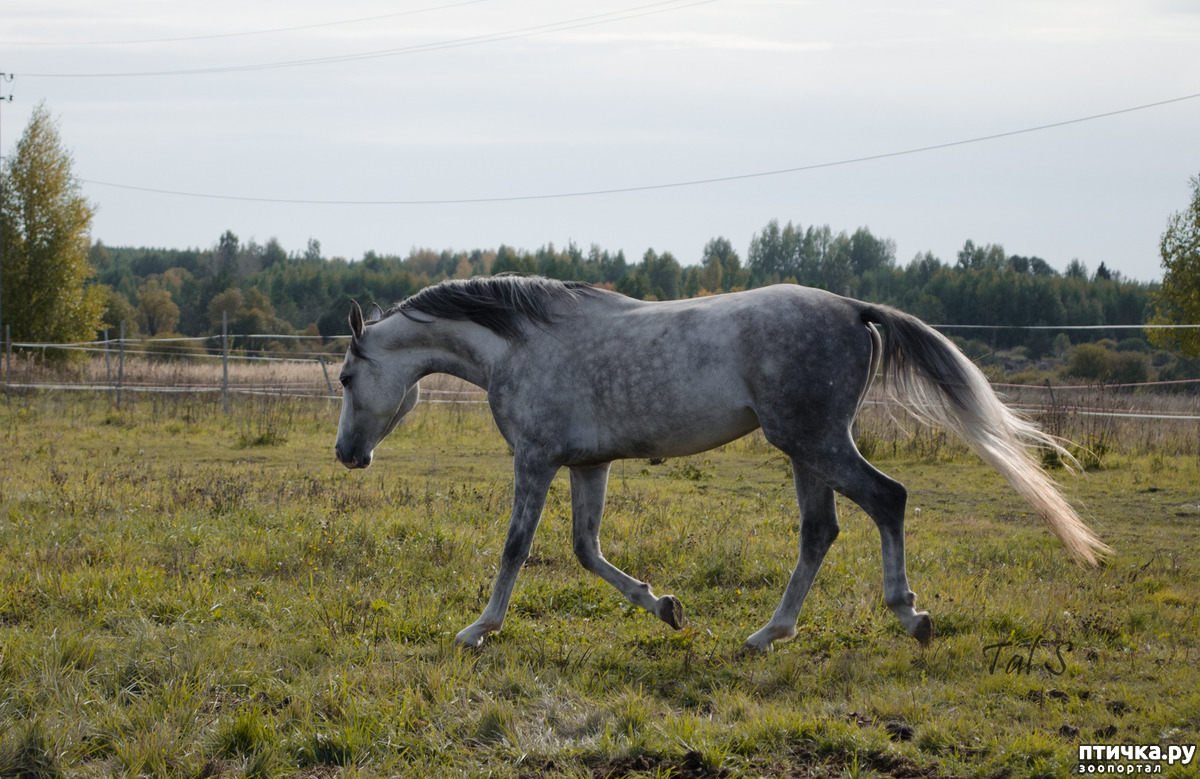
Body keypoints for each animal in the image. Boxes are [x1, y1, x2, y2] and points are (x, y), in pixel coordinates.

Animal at [333, 273, 1108, 648]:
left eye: (343, 377)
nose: (347, 454)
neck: (518, 343)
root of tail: (854, 308)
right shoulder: (587, 464)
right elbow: (587, 550)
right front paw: (666, 607)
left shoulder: (537, 459)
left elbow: (516, 548)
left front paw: (477, 630)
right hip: (804, 450)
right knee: (821, 531)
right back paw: (770, 633)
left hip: (814, 442)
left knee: (887, 499)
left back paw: (909, 616)